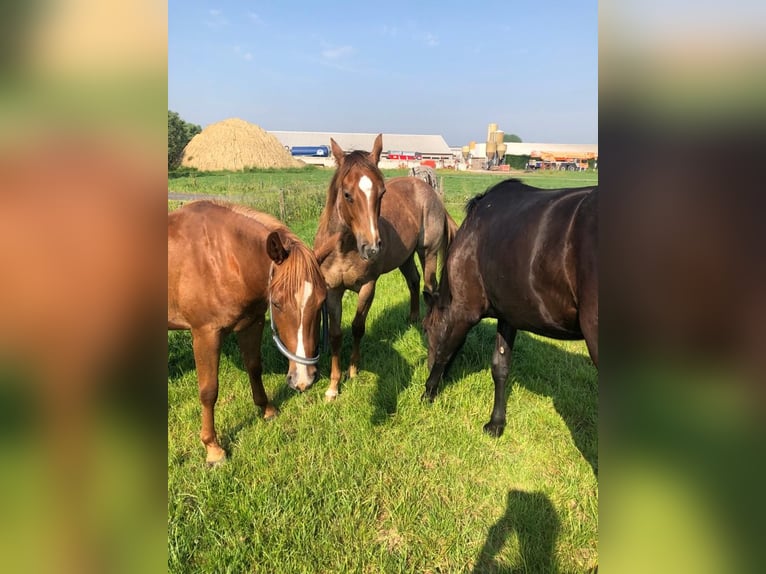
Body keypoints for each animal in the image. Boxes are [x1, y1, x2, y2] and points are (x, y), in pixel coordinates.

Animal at [168, 200, 328, 466]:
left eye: (321, 302)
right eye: (277, 304)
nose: (304, 379)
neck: (221, 259)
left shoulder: (251, 323)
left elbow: (254, 367)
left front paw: (267, 409)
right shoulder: (205, 334)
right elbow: (209, 391)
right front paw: (213, 449)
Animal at [314, 136, 460, 400]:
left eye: (381, 193)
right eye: (347, 194)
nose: (372, 248)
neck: (344, 248)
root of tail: (431, 193)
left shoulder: (367, 287)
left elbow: (357, 327)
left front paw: (353, 370)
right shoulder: (332, 291)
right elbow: (336, 335)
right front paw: (333, 387)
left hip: (428, 252)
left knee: (429, 286)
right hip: (405, 258)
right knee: (413, 281)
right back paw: (412, 319)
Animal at [420, 180, 600, 436]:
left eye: (426, 328)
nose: (426, 366)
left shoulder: (464, 311)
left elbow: (445, 351)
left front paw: (428, 393)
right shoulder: (508, 316)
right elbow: (500, 367)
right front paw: (496, 423)